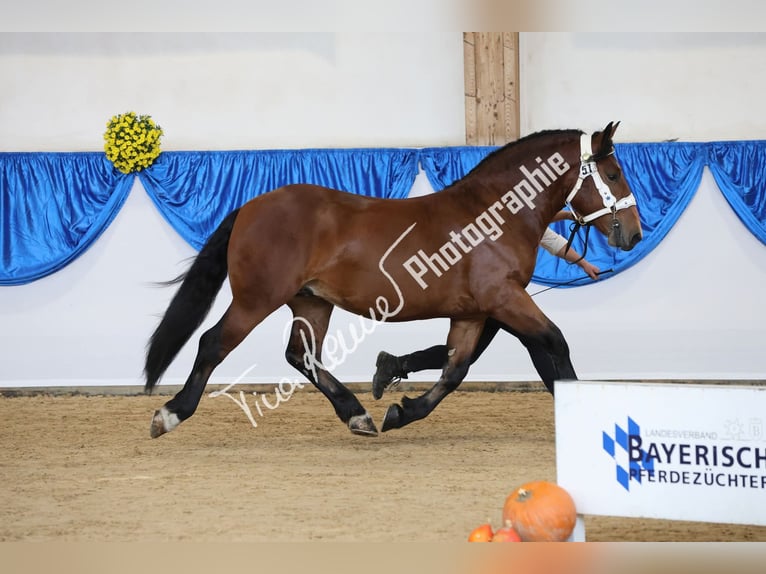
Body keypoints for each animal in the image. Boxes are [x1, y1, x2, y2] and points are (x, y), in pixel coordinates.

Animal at [144, 121, 641, 438]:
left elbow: (456, 369)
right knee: (213, 344)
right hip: (256, 299)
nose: (634, 234)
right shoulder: (504, 300)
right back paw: (170, 414)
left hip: (311, 302)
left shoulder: (474, 312)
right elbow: (555, 343)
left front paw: (402, 412)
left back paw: (357, 415)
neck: (492, 215)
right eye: (613, 173)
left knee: (301, 356)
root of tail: (250, 207)